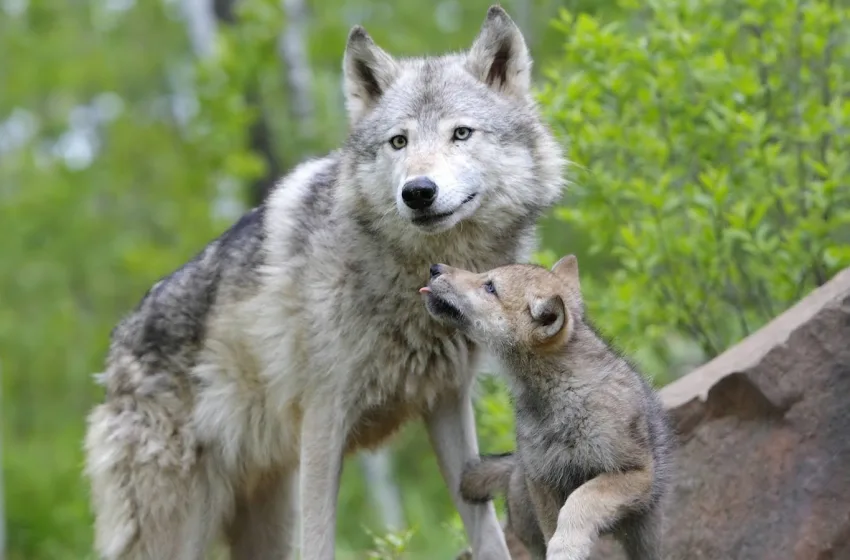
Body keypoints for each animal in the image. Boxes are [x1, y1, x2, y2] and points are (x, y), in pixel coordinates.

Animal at [84, 5, 564, 560]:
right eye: (398, 141)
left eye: (461, 134)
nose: (417, 192)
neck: (411, 278)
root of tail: (115, 354)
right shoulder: (322, 422)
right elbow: (320, 541)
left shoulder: (446, 402)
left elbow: (485, 532)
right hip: (181, 527)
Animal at [420, 256, 672, 556]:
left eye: (490, 287)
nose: (434, 268)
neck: (561, 395)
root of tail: (515, 465)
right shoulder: (543, 482)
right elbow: (555, 524)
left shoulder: (634, 472)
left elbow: (582, 499)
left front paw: (567, 546)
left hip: (646, 537)